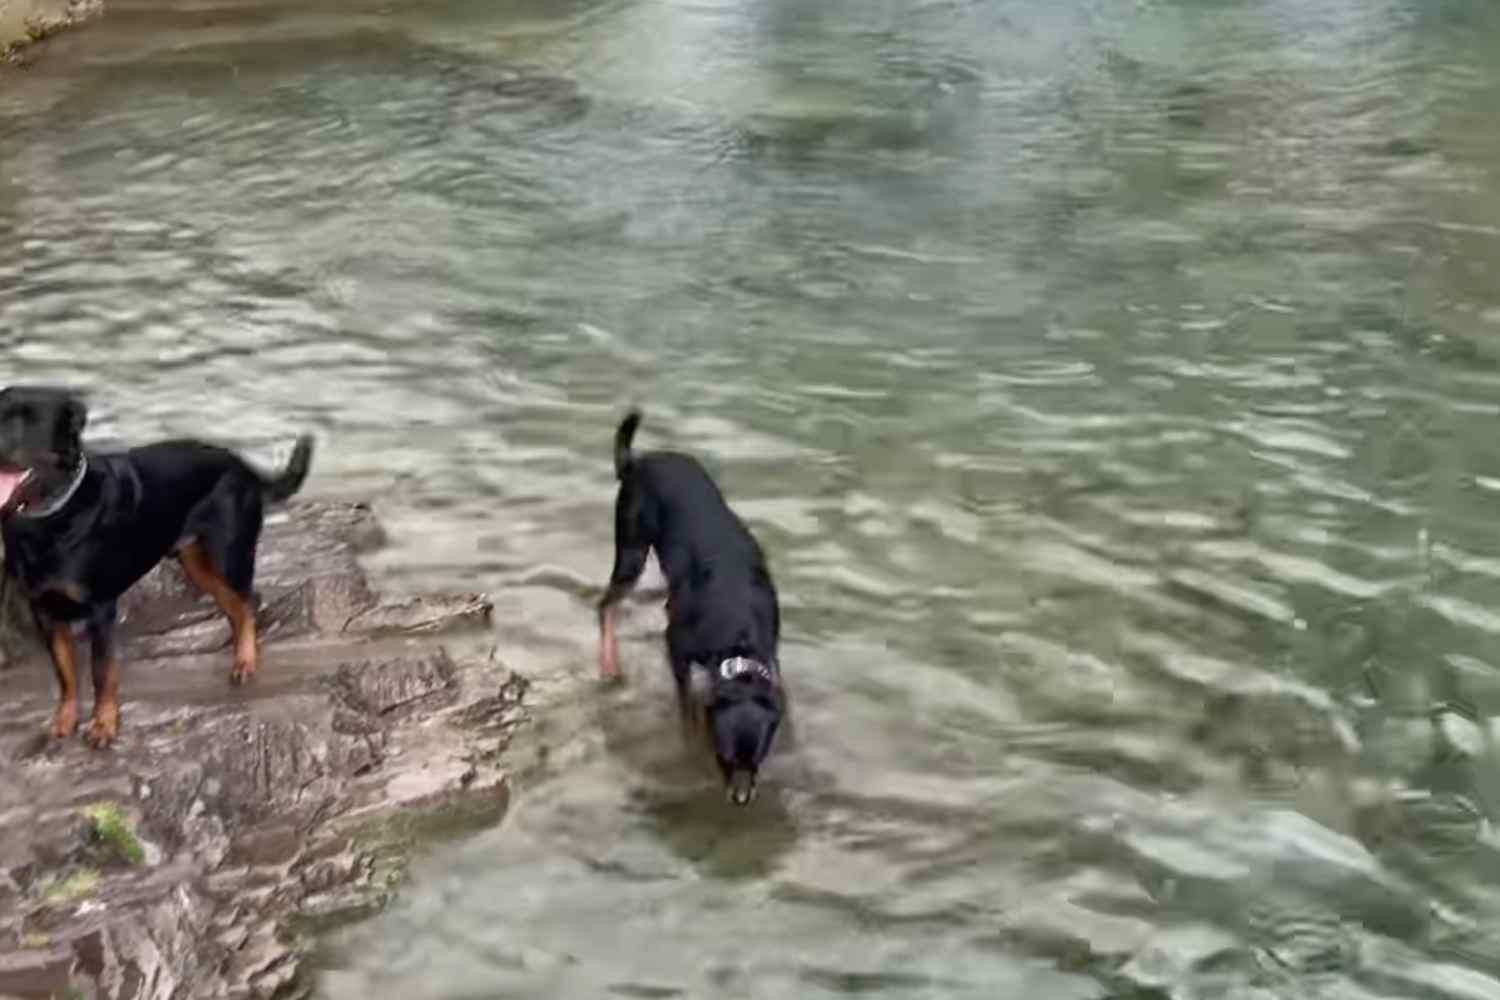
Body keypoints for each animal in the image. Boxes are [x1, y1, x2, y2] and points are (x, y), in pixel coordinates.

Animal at [0, 386, 312, 746]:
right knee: (236, 606)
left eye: (31, 421)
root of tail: (240, 463)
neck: (48, 517)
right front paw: (65, 720)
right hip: (196, 562)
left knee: (248, 601)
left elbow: (101, 671)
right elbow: (65, 673)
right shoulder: (45, 611)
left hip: (228, 554)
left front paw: (104, 726)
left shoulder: (101, 610)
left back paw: (245, 663)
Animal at [594, 410, 792, 809]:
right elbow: (688, 711)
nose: (741, 800)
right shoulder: (677, 648)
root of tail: (638, 461)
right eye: (724, 758)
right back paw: (610, 663)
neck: (739, 637)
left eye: (757, 759)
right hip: (632, 550)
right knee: (605, 606)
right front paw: (691, 743)